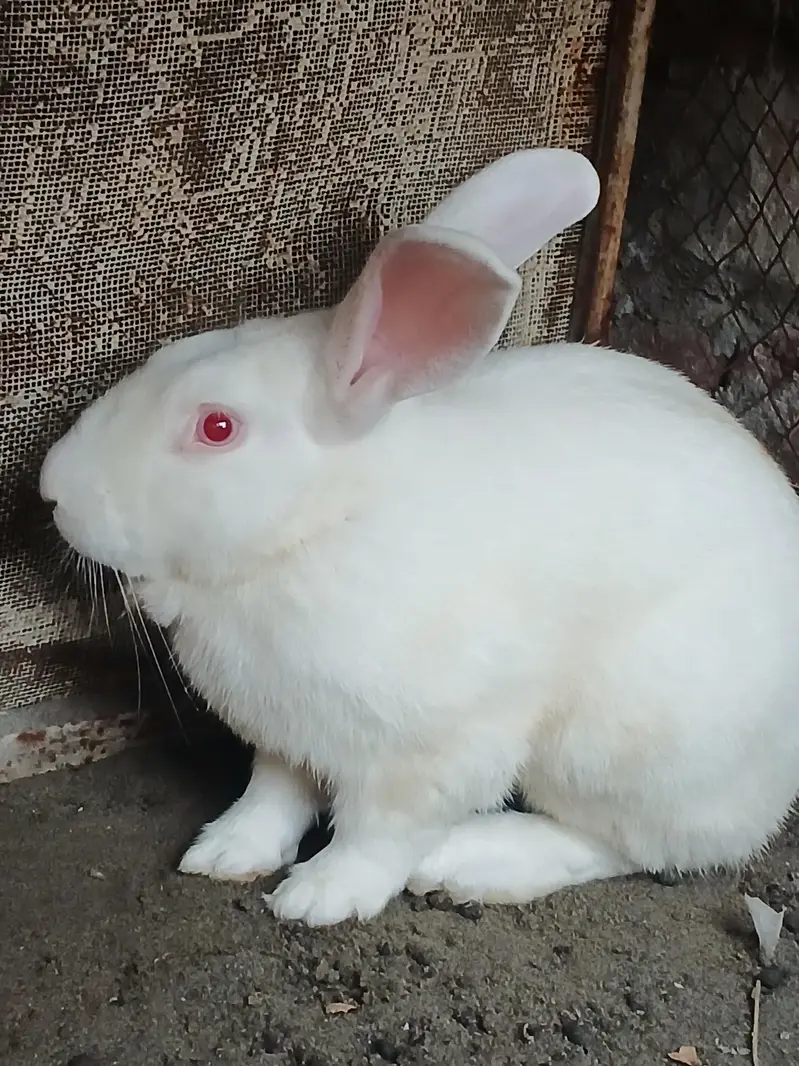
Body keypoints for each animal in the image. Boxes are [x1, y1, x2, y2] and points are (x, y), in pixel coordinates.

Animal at [40, 147, 799, 928]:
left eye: (216, 427)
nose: (51, 489)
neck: (320, 527)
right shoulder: (288, 735)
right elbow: (272, 794)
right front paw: (226, 852)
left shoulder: (430, 752)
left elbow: (377, 833)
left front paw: (317, 897)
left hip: (622, 745)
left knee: (630, 845)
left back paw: (470, 862)